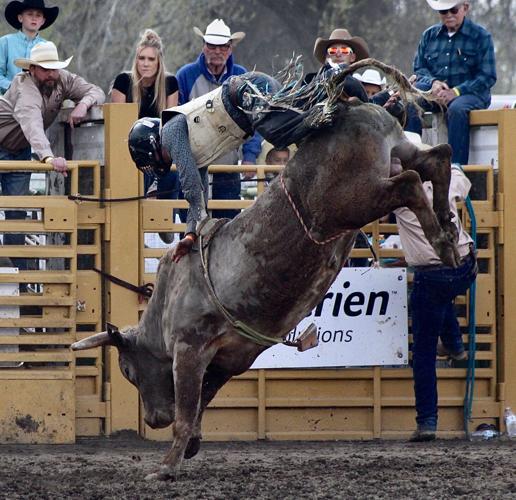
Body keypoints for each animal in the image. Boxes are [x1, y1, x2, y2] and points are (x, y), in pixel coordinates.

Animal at [71, 59, 460, 480]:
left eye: (128, 370)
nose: (152, 419)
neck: (164, 307)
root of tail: (354, 107)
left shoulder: (189, 349)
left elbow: (188, 408)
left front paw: (166, 466)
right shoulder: (231, 358)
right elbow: (202, 402)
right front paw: (190, 446)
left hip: (356, 198)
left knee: (409, 183)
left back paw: (442, 240)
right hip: (399, 152)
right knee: (436, 158)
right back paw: (449, 230)